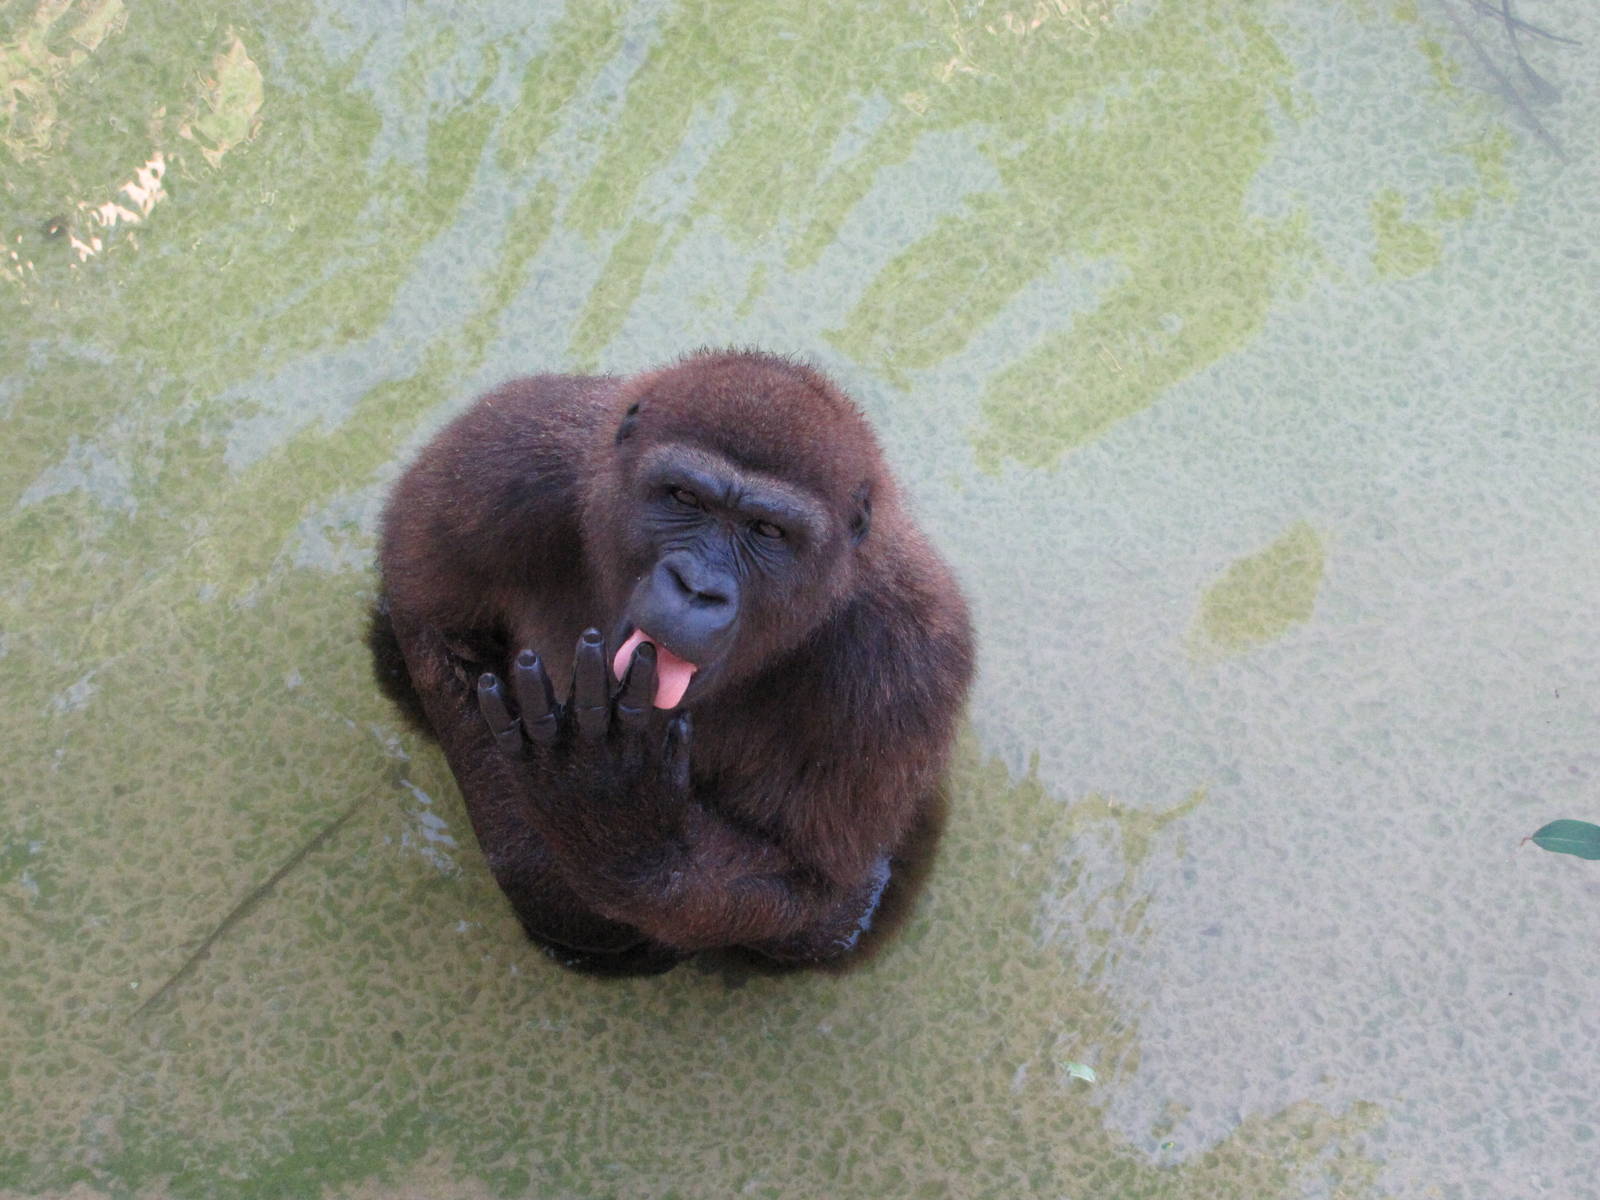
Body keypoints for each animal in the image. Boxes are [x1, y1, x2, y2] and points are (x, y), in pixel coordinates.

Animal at [370, 350, 973, 974]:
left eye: (768, 530)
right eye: (684, 498)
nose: (696, 588)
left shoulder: (908, 656)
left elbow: (815, 887)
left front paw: (625, 837)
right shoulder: (510, 456)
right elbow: (427, 619)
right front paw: (558, 849)